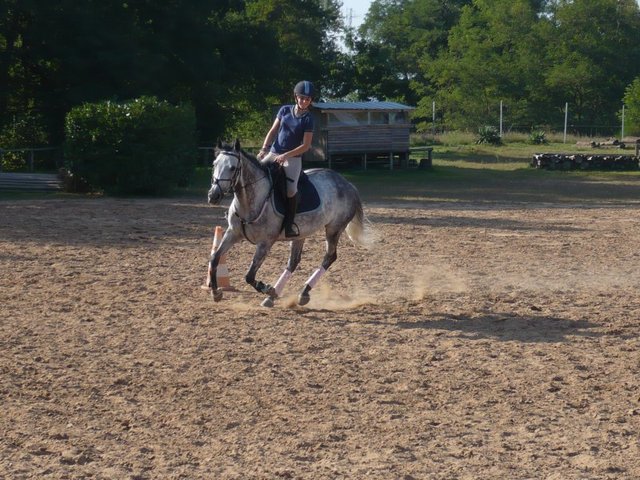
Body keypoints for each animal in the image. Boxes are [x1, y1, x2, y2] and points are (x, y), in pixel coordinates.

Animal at [207, 139, 372, 307]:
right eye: (214, 164)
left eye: (232, 168)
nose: (213, 196)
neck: (252, 200)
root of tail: (347, 184)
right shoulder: (232, 233)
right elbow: (214, 258)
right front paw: (216, 292)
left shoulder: (265, 243)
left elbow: (249, 275)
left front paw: (265, 288)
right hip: (301, 234)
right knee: (293, 262)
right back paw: (273, 296)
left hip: (334, 229)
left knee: (330, 257)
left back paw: (302, 292)